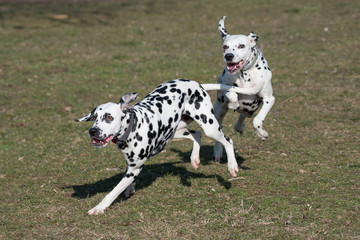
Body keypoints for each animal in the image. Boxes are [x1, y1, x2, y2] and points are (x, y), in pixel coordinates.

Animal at [75, 79, 258, 216]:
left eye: (108, 117)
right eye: (94, 117)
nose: (93, 131)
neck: (133, 127)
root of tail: (195, 83)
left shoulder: (135, 168)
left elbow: (113, 192)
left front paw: (99, 207)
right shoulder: (131, 165)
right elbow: (128, 181)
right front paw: (130, 189)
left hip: (209, 126)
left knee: (227, 141)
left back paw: (232, 167)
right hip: (176, 131)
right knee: (197, 135)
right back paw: (194, 159)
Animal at [214, 15, 276, 162]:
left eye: (241, 46)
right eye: (225, 46)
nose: (228, 56)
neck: (244, 74)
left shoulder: (269, 99)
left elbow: (257, 120)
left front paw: (262, 133)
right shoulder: (222, 85)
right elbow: (230, 92)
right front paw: (234, 99)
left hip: (251, 108)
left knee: (244, 116)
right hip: (218, 110)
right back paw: (218, 151)